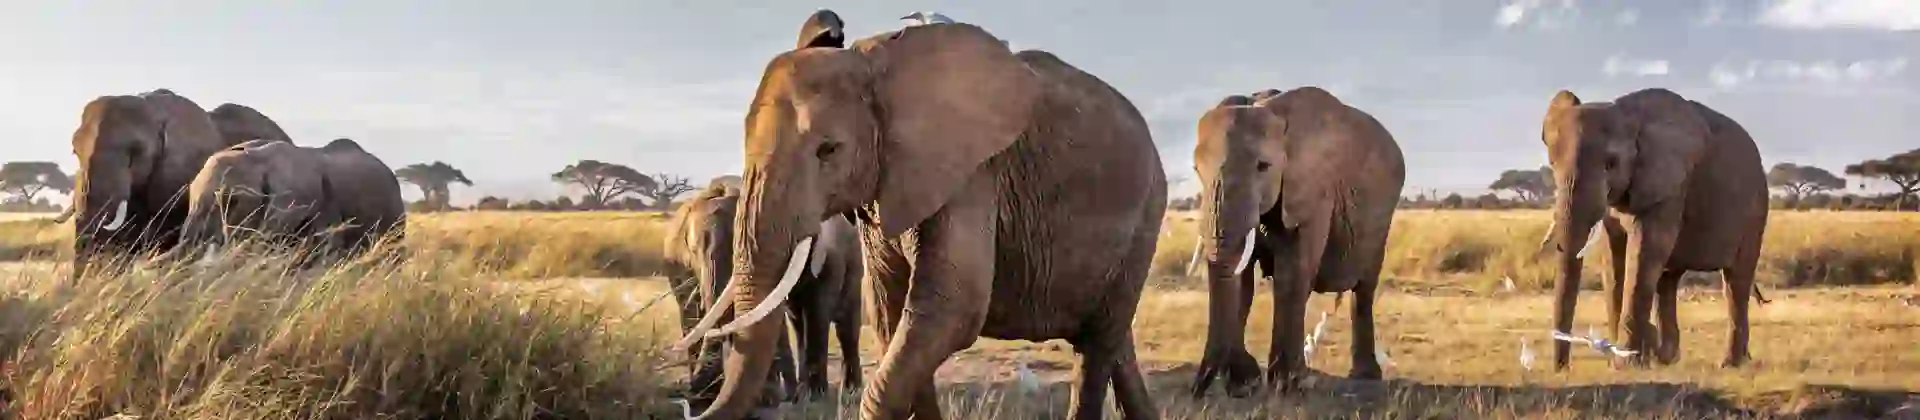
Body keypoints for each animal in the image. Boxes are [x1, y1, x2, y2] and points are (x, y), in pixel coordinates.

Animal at [674, 16, 1167, 420]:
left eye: (828, 150)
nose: (689, 404)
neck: (873, 62)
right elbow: (891, 312)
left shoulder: (972, 175)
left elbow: (950, 308)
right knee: (1110, 338)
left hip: (1147, 212)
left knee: (1096, 349)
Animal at [1188, 88, 1406, 396]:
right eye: (1196, 169)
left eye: (1263, 166)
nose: (1196, 392)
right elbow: (1243, 282)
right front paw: (1245, 383)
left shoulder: (1315, 191)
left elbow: (1292, 273)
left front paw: (1285, 383)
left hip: (1381, 219)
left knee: (1364, 288)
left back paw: (1364, 376)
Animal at [1536, 89, 1768, 369]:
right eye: (1552, 163)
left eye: (1611, 164)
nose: (1562, 369)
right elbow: (1614, 259)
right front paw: (1621, 361)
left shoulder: (1669, 186)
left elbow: (1645, 250)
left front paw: (1626, 364)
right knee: (1667, 279)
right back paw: (1666, 359)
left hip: (1755, 210)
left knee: (1736, 281)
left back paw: (1731, 363)